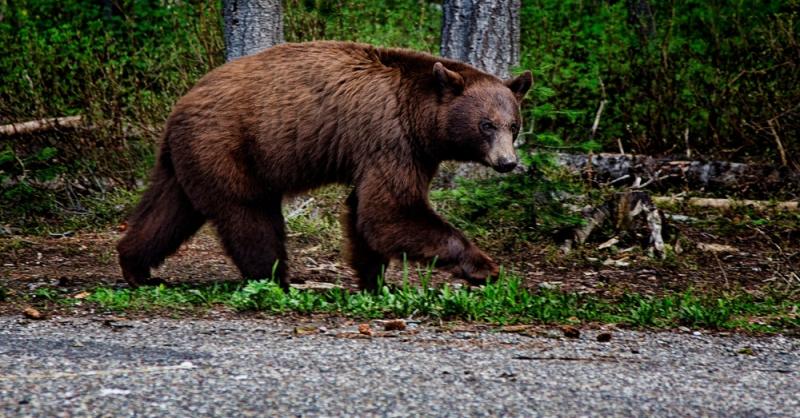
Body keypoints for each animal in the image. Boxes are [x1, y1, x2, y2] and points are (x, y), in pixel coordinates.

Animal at [117, 41, 532, 290]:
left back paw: (136, 267)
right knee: (249, 215)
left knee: (169, 210)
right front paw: (484, 266)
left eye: (514, 125)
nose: (507, 162)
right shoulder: (390, 139)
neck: (420, 116)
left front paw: (375, 281)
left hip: (185, 159)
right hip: (227, 147)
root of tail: (179, 106)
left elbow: (366, 215)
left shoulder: (412, 151)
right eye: (486, 125)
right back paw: (276, 280)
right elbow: (390, 211)